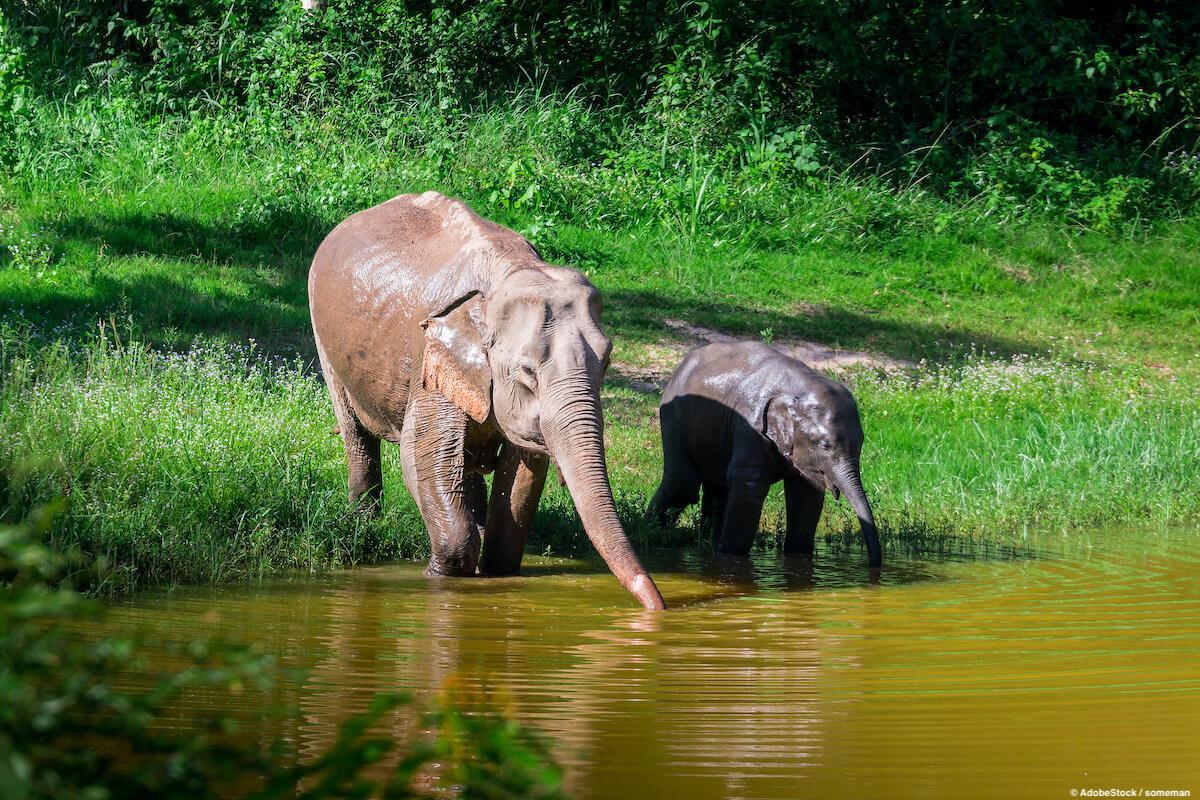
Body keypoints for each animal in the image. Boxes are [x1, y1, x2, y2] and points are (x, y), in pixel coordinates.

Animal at [308, 191, 666, 610]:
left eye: (607, 361)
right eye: (527, 371)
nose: (659, 607)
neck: (508, 274)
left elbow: (524, 472)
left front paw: (495, 572)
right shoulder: (431, 360)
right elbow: (421, 455)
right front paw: (437, 576)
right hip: (324, 337)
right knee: (357, 434)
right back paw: (363, 523)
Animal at [647, 341, 882, 566]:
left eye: (861, 443)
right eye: (825, 445)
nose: (872, 565)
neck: (799, 388)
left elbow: (806, 493)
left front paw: (798, 555)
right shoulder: (750, 427)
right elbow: (749, 485)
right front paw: (730, 556)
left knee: (716, 488)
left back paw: (706, 544)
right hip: (672, 417)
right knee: (683, 485)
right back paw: (653, 531)